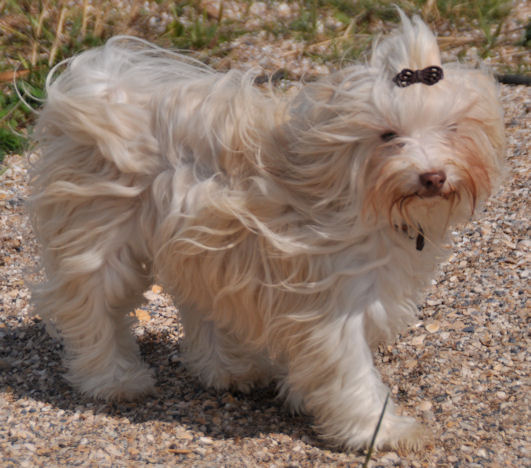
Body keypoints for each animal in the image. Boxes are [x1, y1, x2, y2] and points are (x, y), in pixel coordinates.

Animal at [30, 11, 508, 450]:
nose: (432, 176)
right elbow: (352, 372)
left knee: (197, 302)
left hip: (198, 242)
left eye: (452, 128)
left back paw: (228, 369)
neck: (348, 187)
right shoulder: (336, 301)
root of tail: (102, 83)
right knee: (94, 308)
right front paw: (381, 430)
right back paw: (113, 379)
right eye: (389, 135)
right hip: (101, 237)